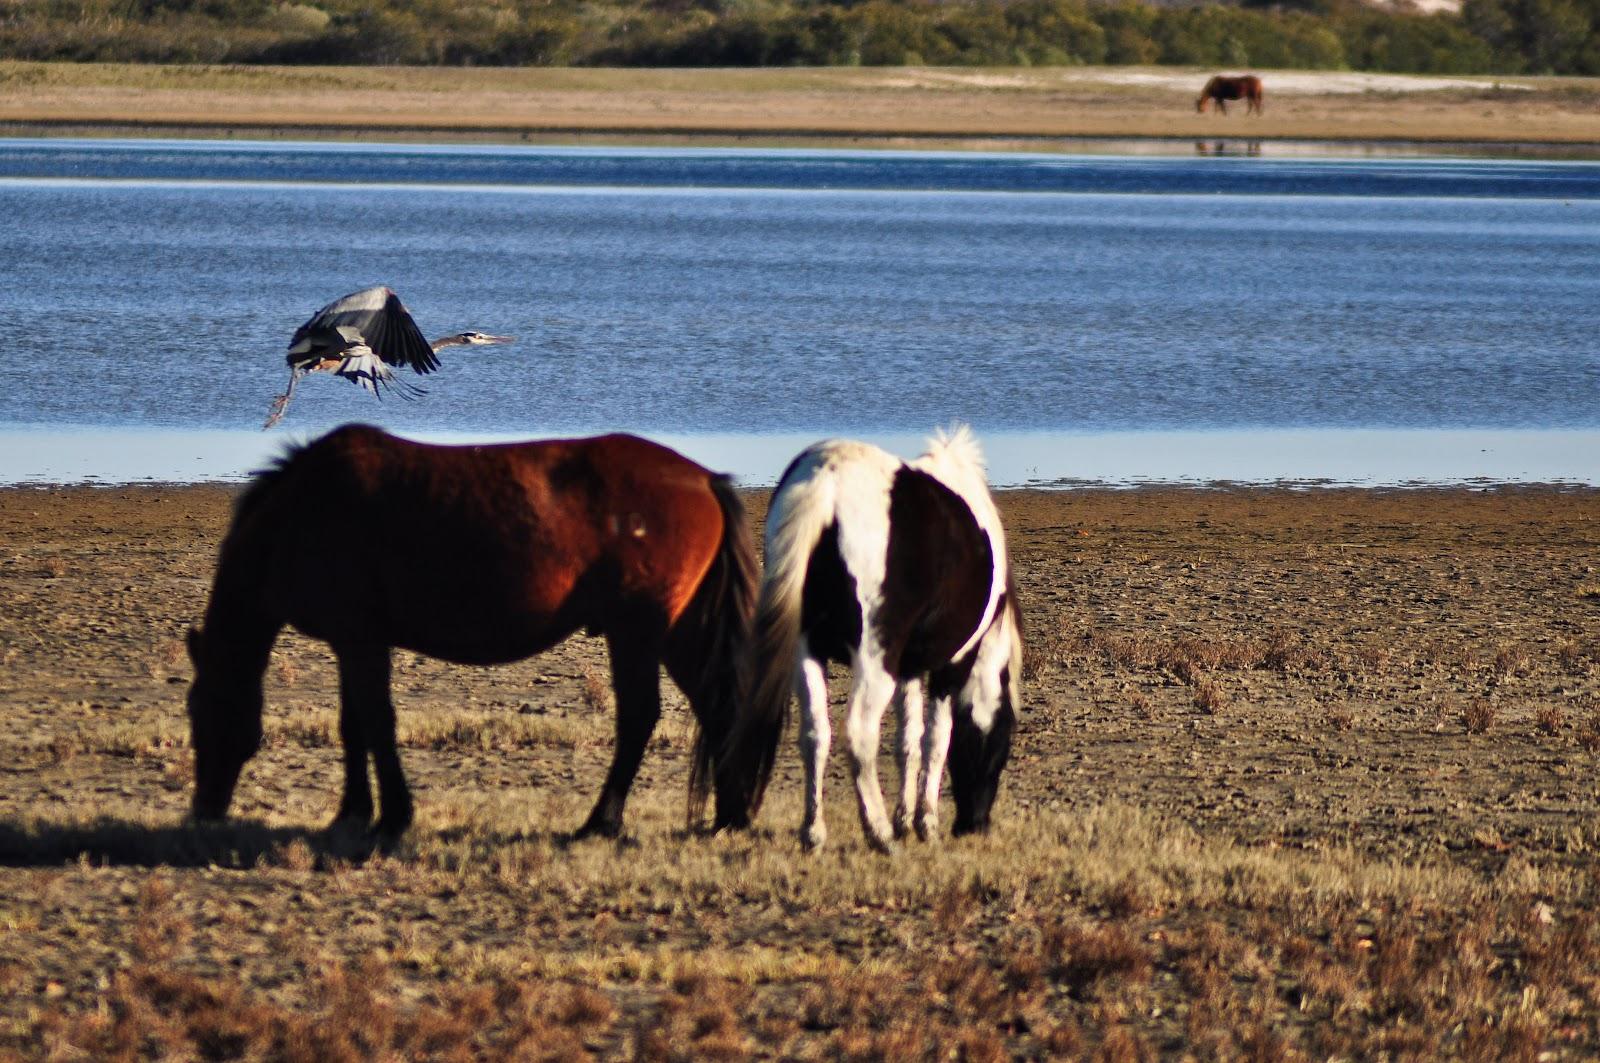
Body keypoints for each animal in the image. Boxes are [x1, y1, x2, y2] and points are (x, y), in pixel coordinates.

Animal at [184, 422, 758, 845]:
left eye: (204, 713)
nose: (203, 809)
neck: (302, 512)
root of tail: (703, 479)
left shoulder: (361, 641)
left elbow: (376, 722)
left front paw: (392, 816)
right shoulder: (351, 643)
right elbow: (353, 725)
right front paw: (351, 813)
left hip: (636, 633)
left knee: (639, 718)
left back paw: (601, 823)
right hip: (677, 634)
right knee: (718, 709)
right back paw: (729, 819)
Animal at [716, 429, 1017, 851]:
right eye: (1002, 743)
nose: (975, 825)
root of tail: (827, 481)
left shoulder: (910, 667)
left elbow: (908, 741)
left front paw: (906, 820)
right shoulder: (951, 664)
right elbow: (936, 740)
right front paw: (925, 826)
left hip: (806, 653)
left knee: (815, 734)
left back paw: (814, 833)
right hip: (875, 663)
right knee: (858, 733)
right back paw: (879, 834)